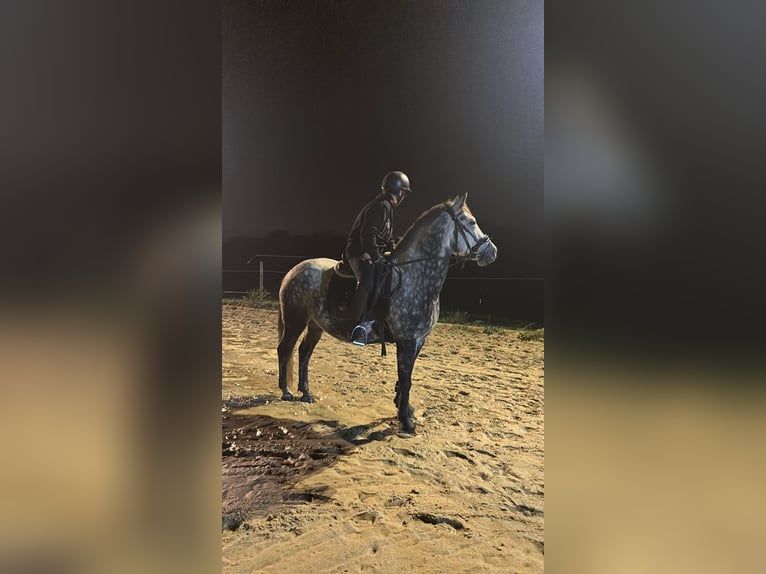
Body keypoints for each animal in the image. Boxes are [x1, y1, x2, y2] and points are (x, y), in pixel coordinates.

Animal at [276, 193, 498, 434]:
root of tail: (293, 271)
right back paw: (286, 391)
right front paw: (406, 421)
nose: (492, 252)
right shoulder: (407, 341)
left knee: (304, 352)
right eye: (471, 222)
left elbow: (406, 377)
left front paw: (405, 409)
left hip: (316, 324)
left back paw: (306, 392)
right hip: (295, 320)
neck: (414, 277)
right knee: (284, 349)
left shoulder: (417, 341)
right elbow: (406, 378)